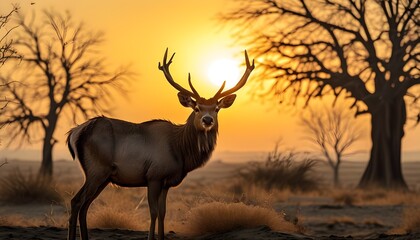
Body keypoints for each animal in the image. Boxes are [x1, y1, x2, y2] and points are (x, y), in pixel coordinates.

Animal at [67, 48, 254, 240]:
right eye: (197, 108)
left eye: (216, 109)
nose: (207, 120)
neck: (180, 151)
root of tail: (75, 132)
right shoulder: (154, 175)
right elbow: (153, 212)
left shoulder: (167, 182)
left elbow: (163, 212)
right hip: (97, 169)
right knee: (76, 201)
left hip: (103, 176)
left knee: (85, 205)